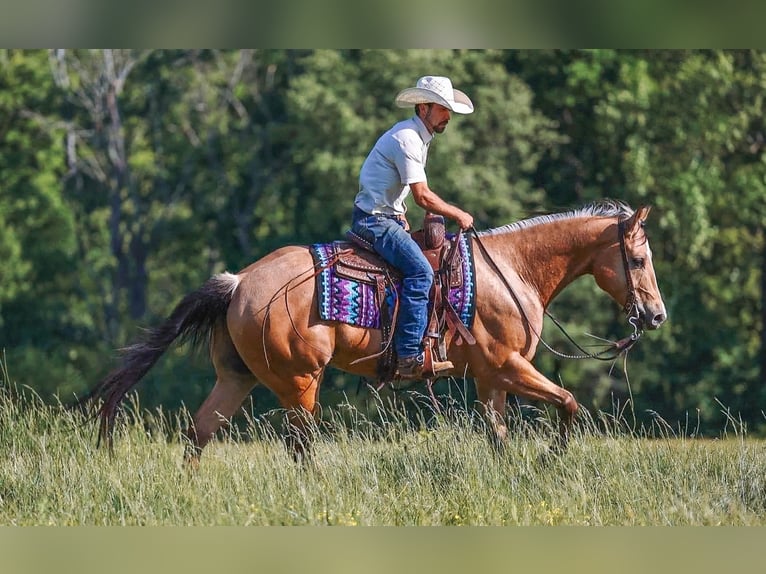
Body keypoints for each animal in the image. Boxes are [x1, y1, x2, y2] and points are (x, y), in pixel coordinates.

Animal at [82, 199, 666, 463]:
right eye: (638, 259)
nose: (656, 315)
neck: (511, 269)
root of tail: (240, 281)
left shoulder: (490, 379)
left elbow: (499, 437)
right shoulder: (507, 365)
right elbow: (568, 402)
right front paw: (553, 455)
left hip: (237, 378)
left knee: (199, 434)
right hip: (299, 382)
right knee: (299, 445)